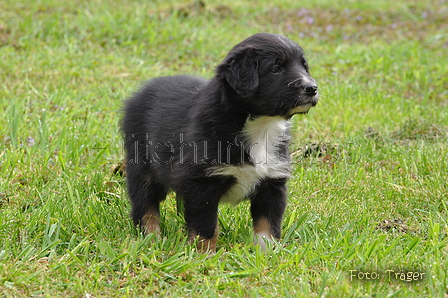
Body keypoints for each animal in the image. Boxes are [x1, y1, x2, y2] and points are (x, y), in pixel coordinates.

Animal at [122, 33, 318, 251]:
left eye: (304, 66)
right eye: (276, 68)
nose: (312, 88)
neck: (260, 127)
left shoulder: (272, 181)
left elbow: (268, 223)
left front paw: (267, 252)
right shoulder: (202, 182)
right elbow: (206, 225)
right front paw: (204, 253)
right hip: (143, 167)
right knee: (145, 206)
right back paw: (151, 240)